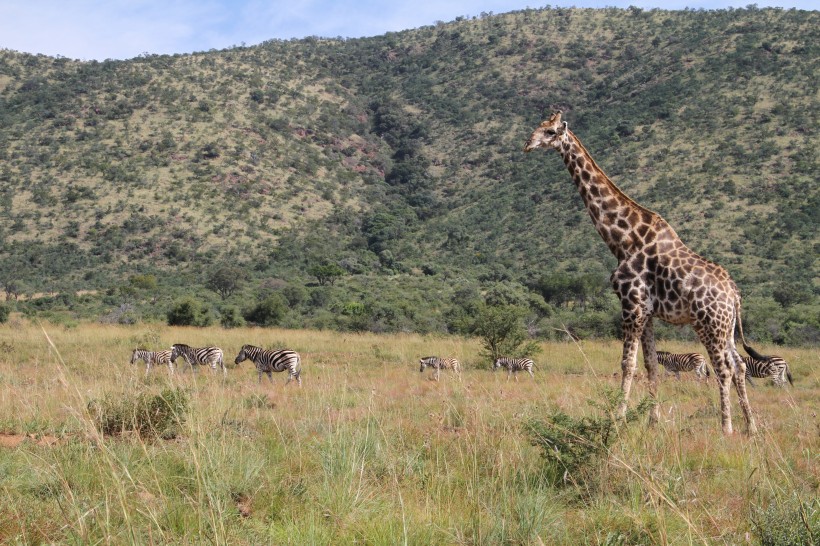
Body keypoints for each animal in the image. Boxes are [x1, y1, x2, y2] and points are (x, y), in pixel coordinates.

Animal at [524, 111, 756, 434]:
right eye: (539, 127)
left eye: (550, 131)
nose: (527, 144)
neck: (623, 240)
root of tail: (734, 295)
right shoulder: (646, 312)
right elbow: (650, 364)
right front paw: (652, 420)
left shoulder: (631, 305)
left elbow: (627, 364)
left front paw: (617, 419)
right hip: (727, 327)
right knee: (740, 365)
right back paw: (751, 426)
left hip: (708, 323)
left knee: (723, 368)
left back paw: (727, 427)